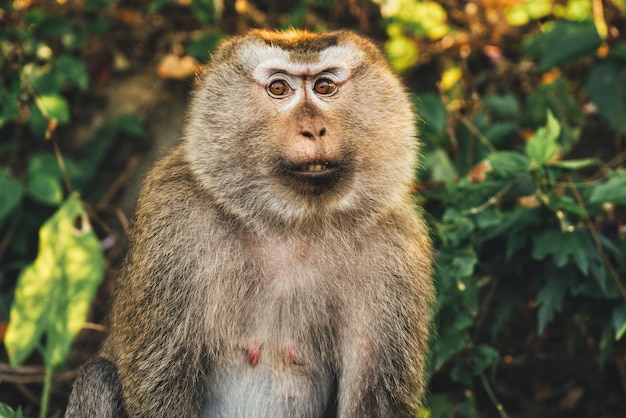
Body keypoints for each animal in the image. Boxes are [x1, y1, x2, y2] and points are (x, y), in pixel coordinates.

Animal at [64, 30, 434, 418]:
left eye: (325, 86)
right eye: (278, 88)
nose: (313, 129)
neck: (292, 222)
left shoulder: (396, 248)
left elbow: (375, 399)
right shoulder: (173, 219)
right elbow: (160, 381)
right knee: (97, 377)